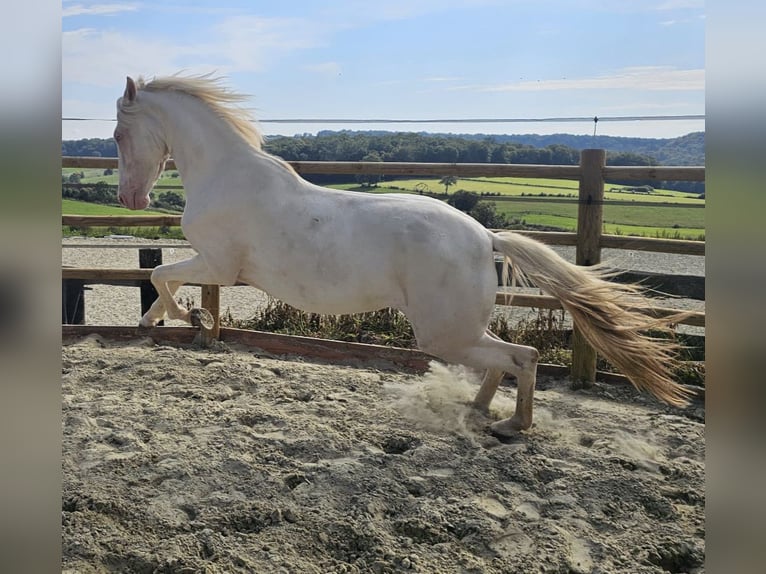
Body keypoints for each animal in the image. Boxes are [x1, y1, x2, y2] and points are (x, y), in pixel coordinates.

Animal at [117, 75, 692, 436]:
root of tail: (486, 237)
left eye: (121, 133)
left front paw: (189, 317)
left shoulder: (219, 265)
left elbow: (162, 274)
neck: (227, 175)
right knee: (508, 358)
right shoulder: (214, 264)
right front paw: (165, 320)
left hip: (443, 332)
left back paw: (512, 425)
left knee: (520, 357)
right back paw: (480, 411)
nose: (130, 199)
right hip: (457, 327)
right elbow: (162, 277)